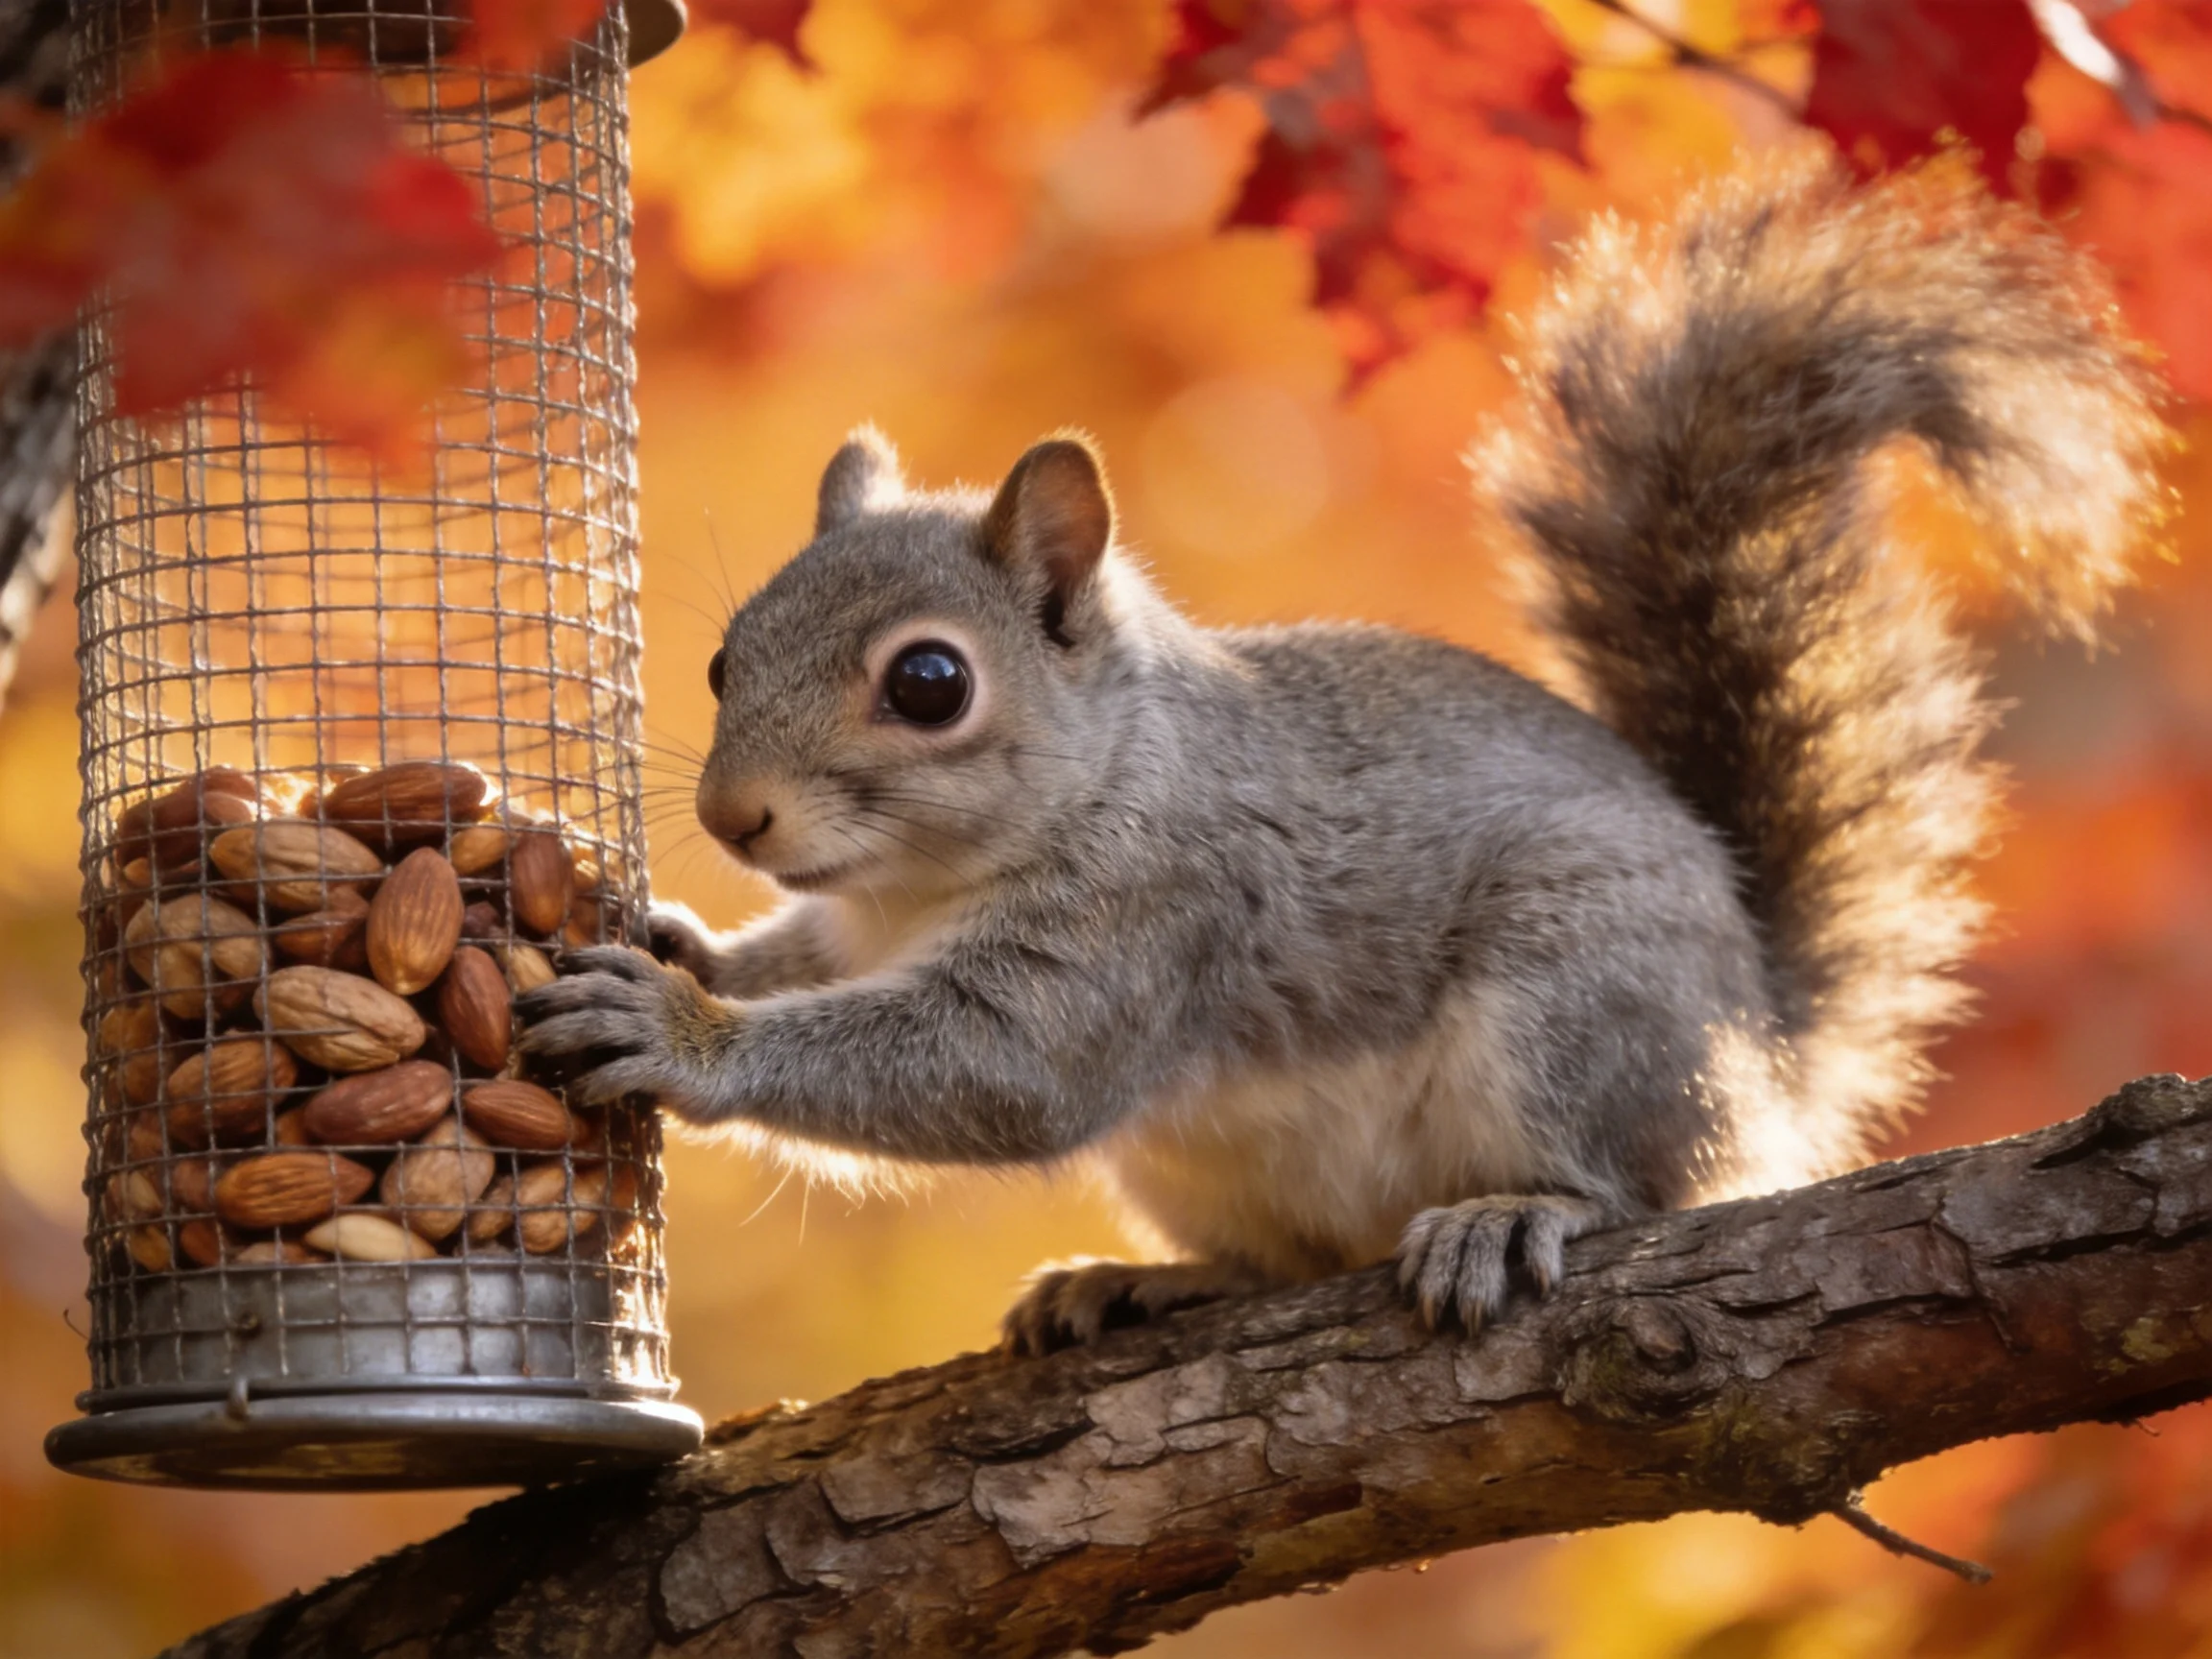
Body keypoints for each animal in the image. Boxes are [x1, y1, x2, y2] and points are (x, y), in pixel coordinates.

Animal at [518, 154, 2169, 1354]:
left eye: (930, 684)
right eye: (726, 655)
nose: (734, 817)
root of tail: (1763, 1043)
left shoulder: (1155, 917)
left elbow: (999, 1071)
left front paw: (679, 1027)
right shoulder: (859, 919)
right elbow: (807, 964)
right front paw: (691, 947)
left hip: (1578, 1000)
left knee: (1634, 1185)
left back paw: (1514, 1216)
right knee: (1288, 1259)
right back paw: (1148, 1283)